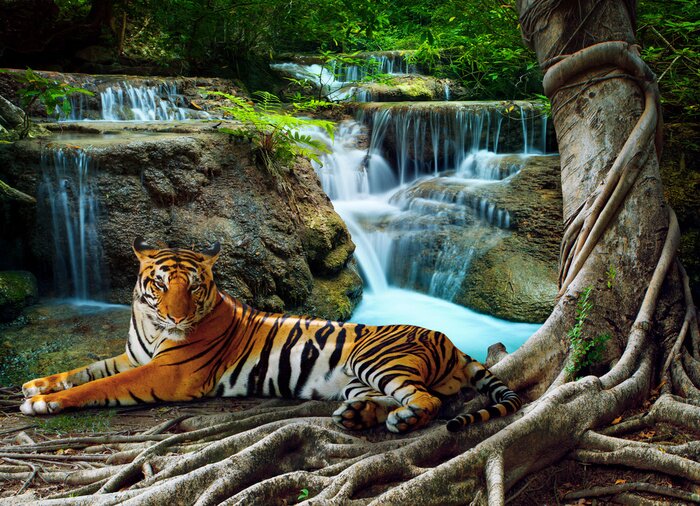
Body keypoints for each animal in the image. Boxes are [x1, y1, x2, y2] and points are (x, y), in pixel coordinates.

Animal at [20, 238, 522, 433]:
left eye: (194, 286)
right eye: (160, 285)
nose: (177, 317)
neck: (149, 324)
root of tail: (450, 341)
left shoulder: (165, 374)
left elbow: (100, 385)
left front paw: (44, 403)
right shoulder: (134, 357)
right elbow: (87, 369)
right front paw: (36, 385)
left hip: (376, 360)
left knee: (427, 401)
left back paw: (400, 420)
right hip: (358, 379)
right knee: (390, 399)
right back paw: (356, 416)